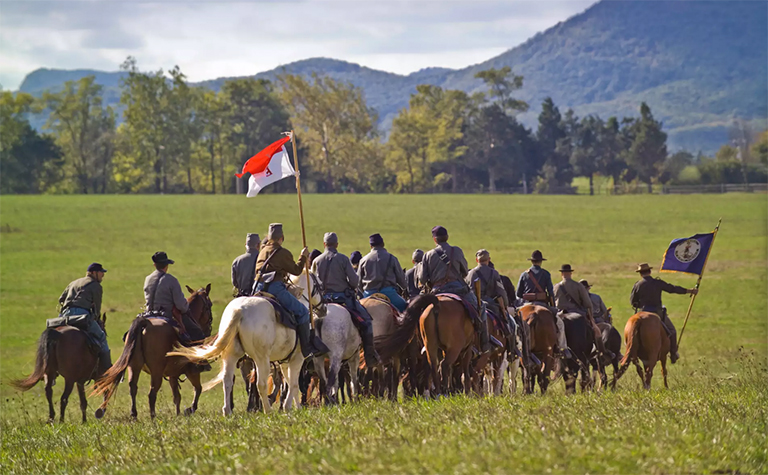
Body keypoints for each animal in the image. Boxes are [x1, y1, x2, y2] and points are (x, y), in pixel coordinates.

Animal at [92, 284, 213, 418]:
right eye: (209, 305)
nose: (209, 329)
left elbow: (177, 396)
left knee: (133, 388)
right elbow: (198, 389)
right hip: (156, 371)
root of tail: (145, 323)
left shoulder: (172, 374)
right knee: (152, 393)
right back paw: (153, 416)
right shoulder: (191, 371)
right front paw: (189, 409)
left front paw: (178, 414)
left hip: (134, 366)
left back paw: (134, 414)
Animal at [168, 274, 320, 414]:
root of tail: (239, 310)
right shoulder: (297, 358)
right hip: (261, 358)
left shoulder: (285, 361)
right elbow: (293, 384)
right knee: (261, 384)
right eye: (318, 284)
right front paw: (288, 407)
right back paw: (267, 410)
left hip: (232, 355)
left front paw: (295, 407)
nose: (322, 306)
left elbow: (289, 382)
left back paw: (228, 411)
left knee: (227, 380)